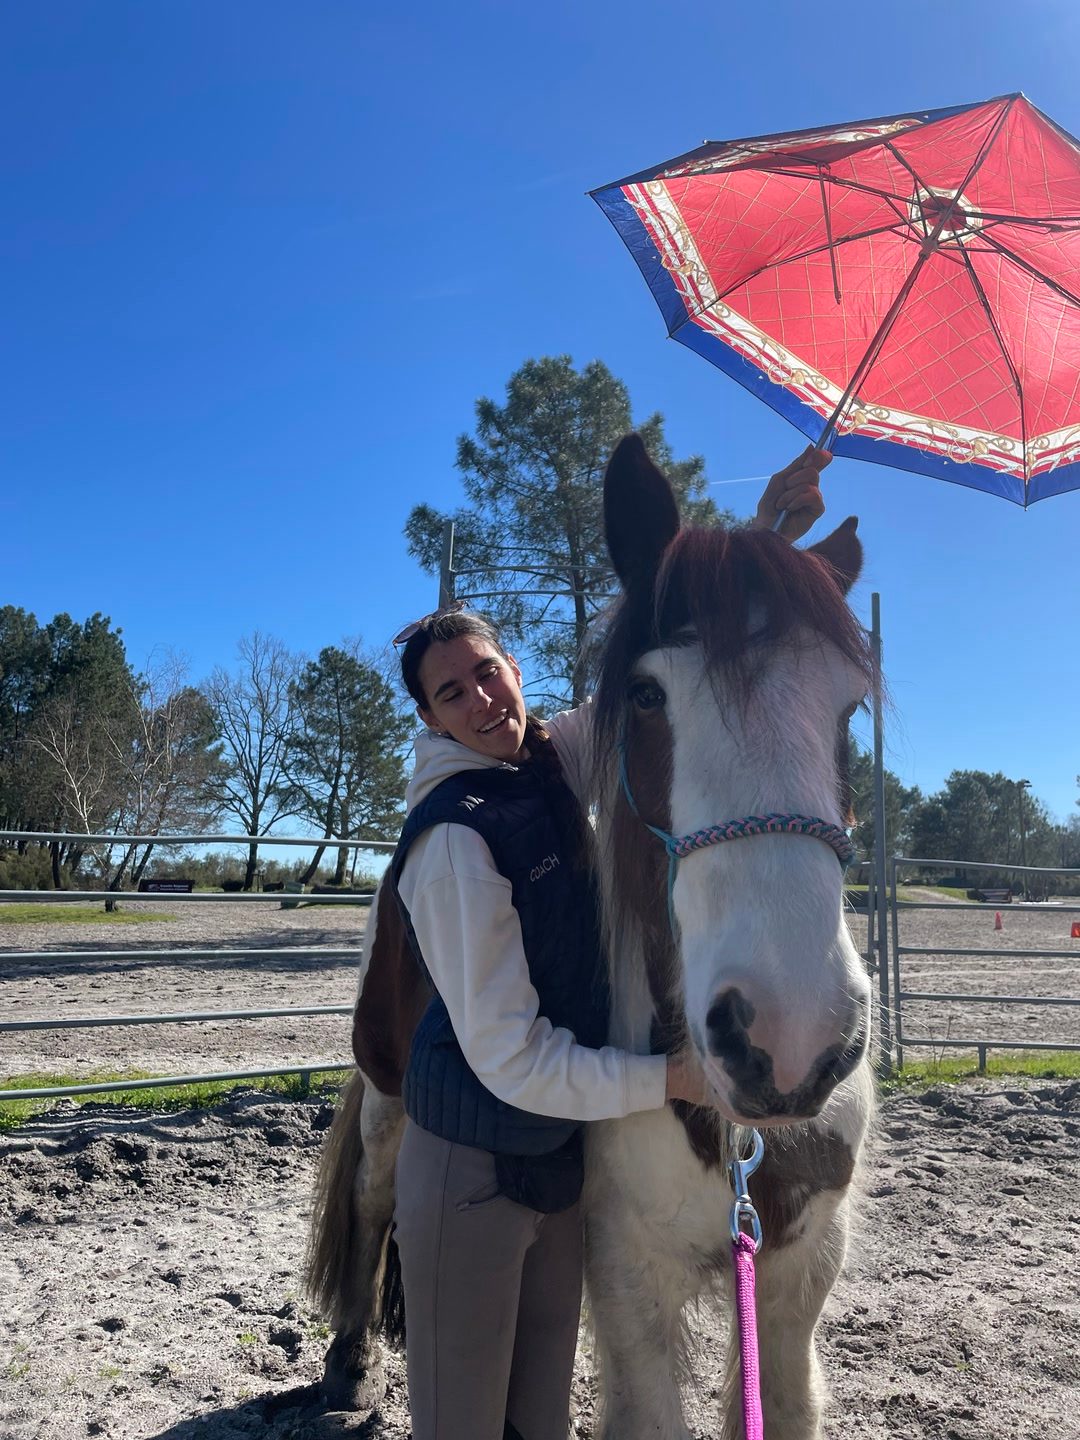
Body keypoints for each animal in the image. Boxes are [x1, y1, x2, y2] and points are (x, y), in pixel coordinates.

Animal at [305, 433, 876, 1439]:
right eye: (647, 695)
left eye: (848, 707)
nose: (792, 1036)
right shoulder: (623, 1278)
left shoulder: (795, 1274)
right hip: (387, 1093)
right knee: (376, 1193)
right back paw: (347, 1364)